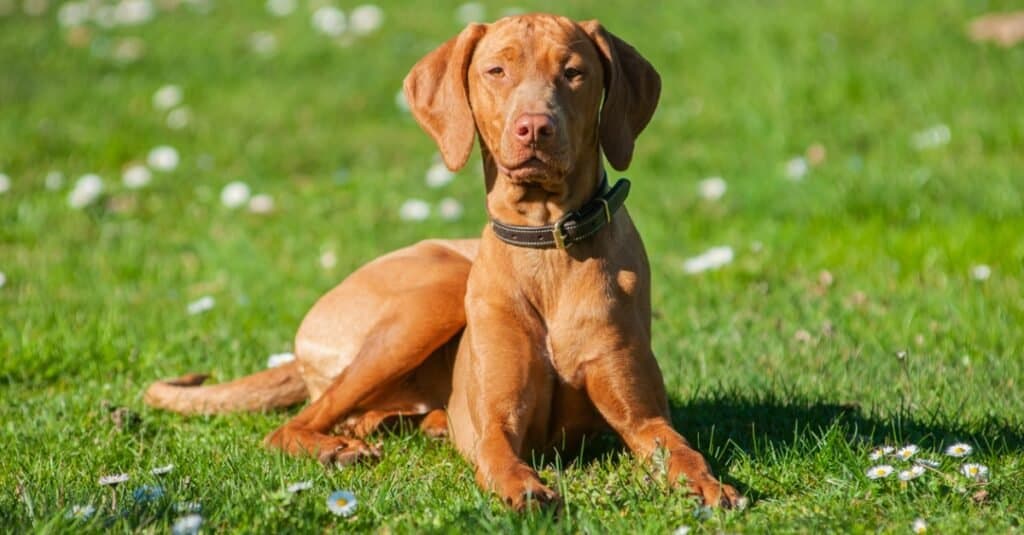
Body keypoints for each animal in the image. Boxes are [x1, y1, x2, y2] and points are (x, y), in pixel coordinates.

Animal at [146, 12, 737, 508]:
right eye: (497, 70)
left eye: (573, 73)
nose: (534, 127)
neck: (545, 244)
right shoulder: (497, 421)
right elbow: (498, 455)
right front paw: (524, 487)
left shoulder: (643, 419)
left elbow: (681, 449)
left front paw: (709, 484)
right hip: (434, 297)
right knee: (295, 423)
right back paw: (336, 448)